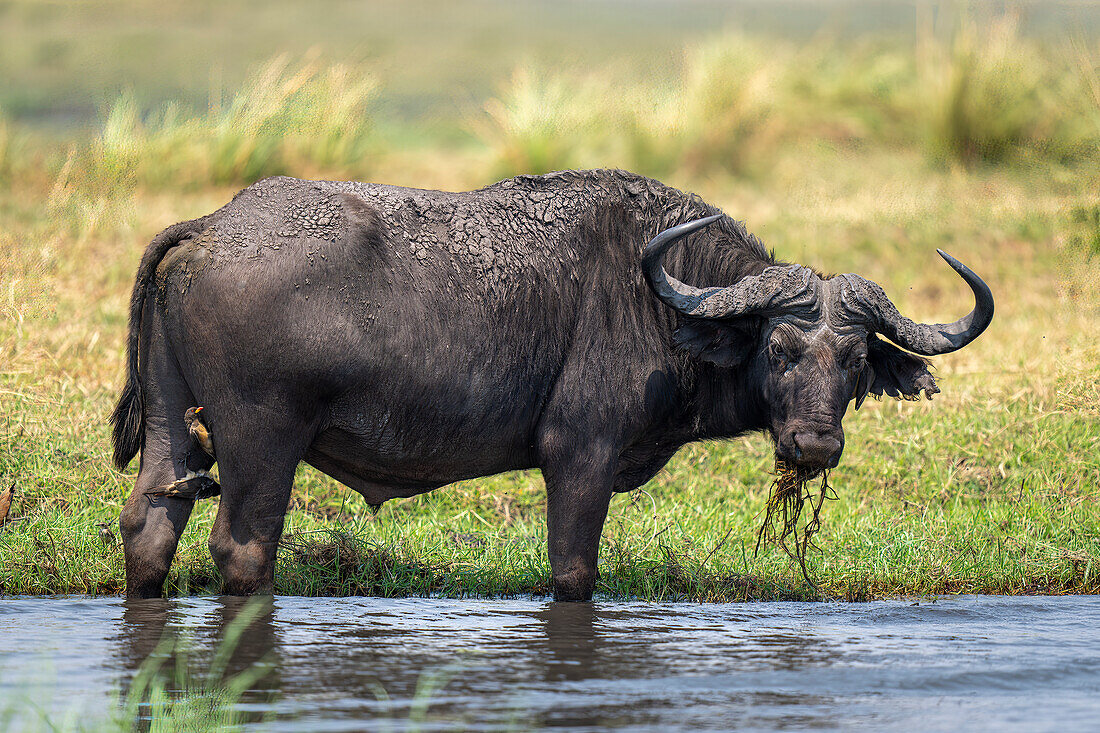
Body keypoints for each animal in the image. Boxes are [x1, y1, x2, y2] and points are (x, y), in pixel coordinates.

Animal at [116, 171, 994, 598]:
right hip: (262, 440)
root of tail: (214, 226)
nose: (813, 444)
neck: (658, 298)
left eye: (854, 361)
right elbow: (574, 570)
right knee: (242, 549)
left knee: (148, 528)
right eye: (778, 348)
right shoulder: (580, 453)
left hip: (174, 432)